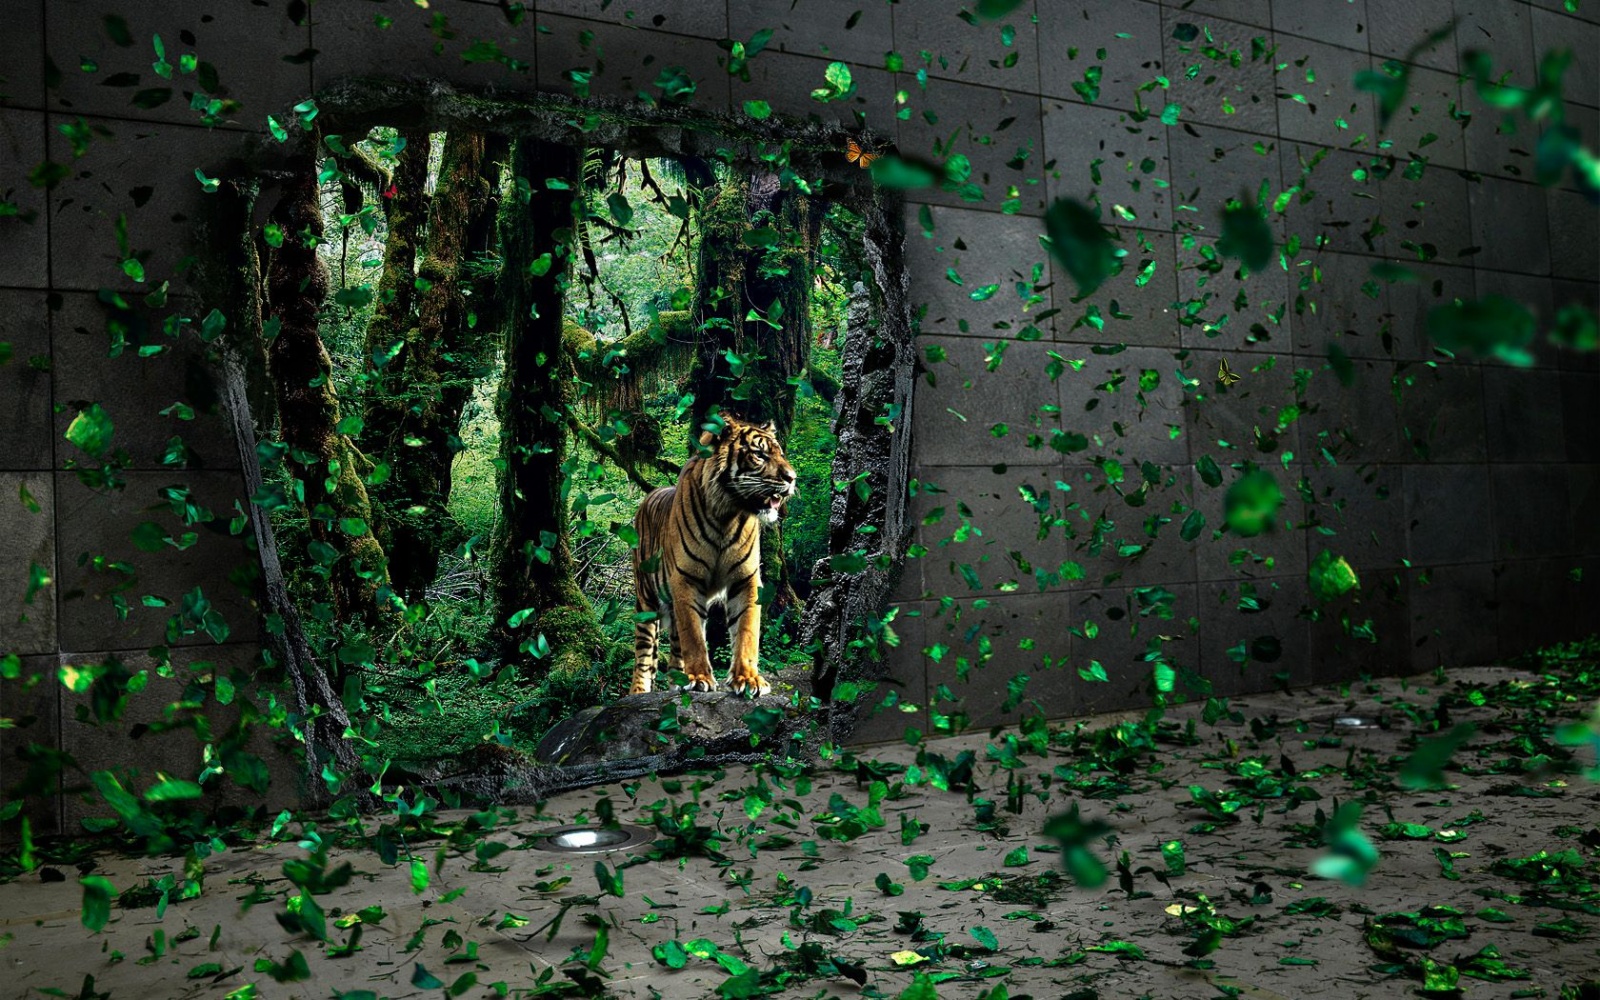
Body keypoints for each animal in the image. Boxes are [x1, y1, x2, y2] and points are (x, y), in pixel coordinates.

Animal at [628, 413, 797, 697]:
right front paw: (699, 678)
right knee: (644, 656)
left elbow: (746, 630)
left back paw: (677, 682)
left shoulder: (746, 579)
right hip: (646, 601)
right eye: (760, 454)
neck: (726, 514)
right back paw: (639, 692)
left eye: (780, 454)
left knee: (674, 652)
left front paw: (748, 679)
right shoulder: (685, 579)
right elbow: (694, 636)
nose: (792, 478)